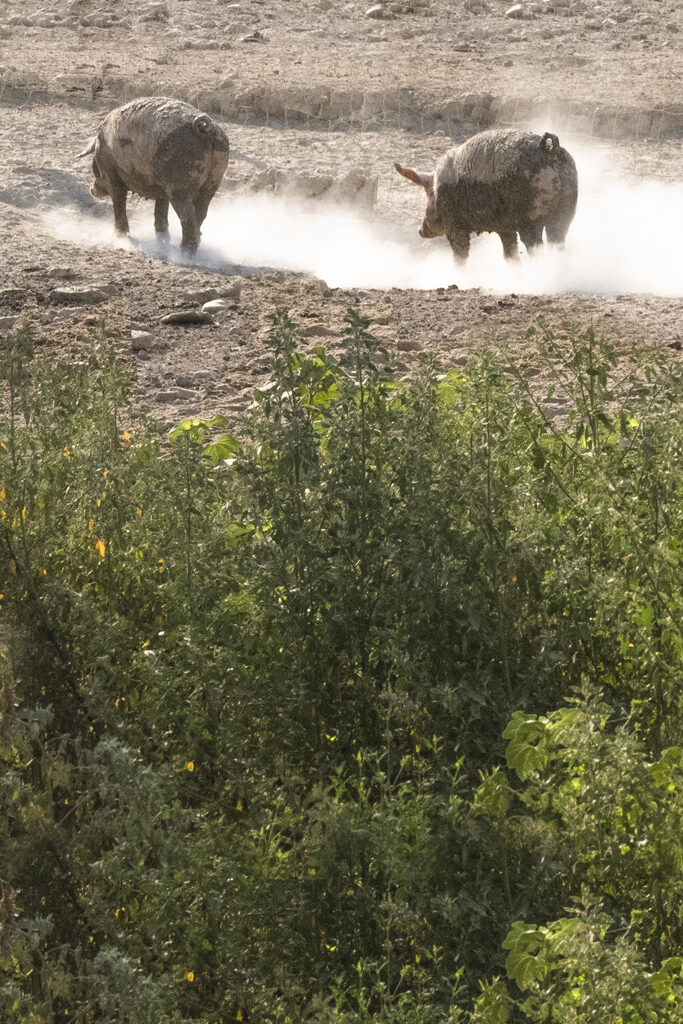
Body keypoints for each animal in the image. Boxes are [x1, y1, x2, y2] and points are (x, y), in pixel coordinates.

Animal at [395, 127, 577, 262]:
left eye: (428, 195)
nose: (420, 230)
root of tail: (550, 149)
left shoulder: (454, 224)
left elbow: (460, 254)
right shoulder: (505, 228)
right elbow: (509, 254)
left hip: (532, 220)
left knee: (536, 247)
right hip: (565, 213)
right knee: (558, 242)